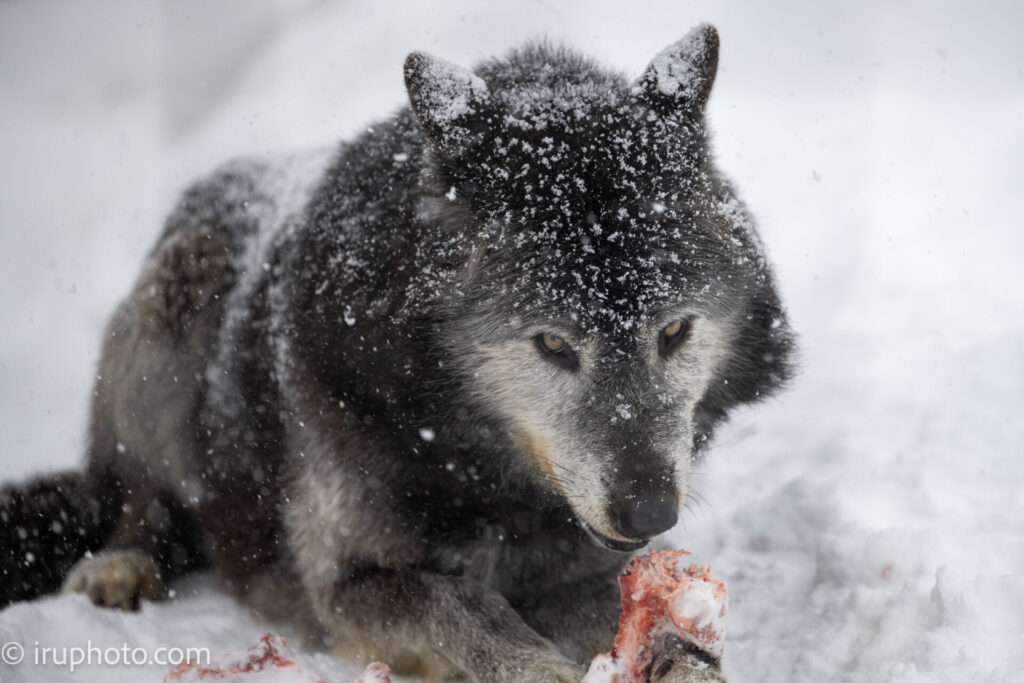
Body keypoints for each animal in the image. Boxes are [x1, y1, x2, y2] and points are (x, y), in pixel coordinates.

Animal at [0, 22, 790, 683]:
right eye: (553, 343)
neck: (486, 470)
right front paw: (537, 667)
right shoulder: (343, 585)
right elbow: (457, 604)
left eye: (675, 331)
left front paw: (685, 663)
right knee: (139, 498)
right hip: (182, 283)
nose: (650, 513)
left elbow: (657, 629)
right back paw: (118, 566)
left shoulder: (579, 571)